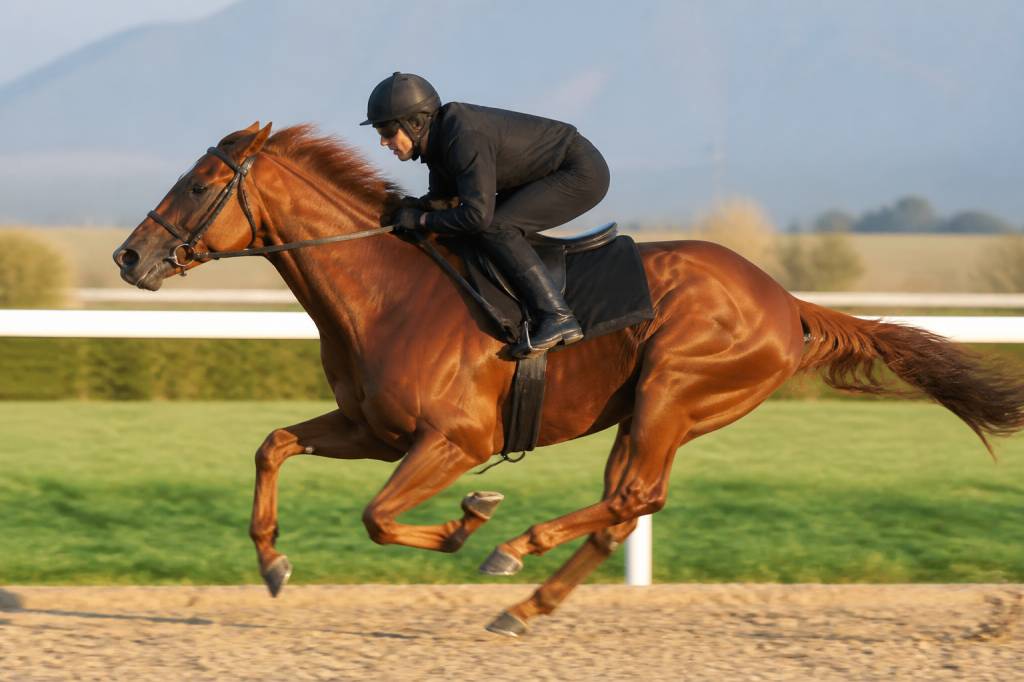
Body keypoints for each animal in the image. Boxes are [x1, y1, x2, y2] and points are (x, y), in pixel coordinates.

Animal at [113, 122, 1024, 637]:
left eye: (200, 182)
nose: (128, 256)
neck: (386, 290)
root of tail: (786, 300)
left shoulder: (452, 440)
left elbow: (378, 517)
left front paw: (468, 522)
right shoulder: (372, 429)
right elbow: (272, 445)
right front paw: (272, 562)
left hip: (669, 393)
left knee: (630, 498)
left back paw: (514, 552)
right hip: (657, 412)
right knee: (629, 506)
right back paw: (527, 605)